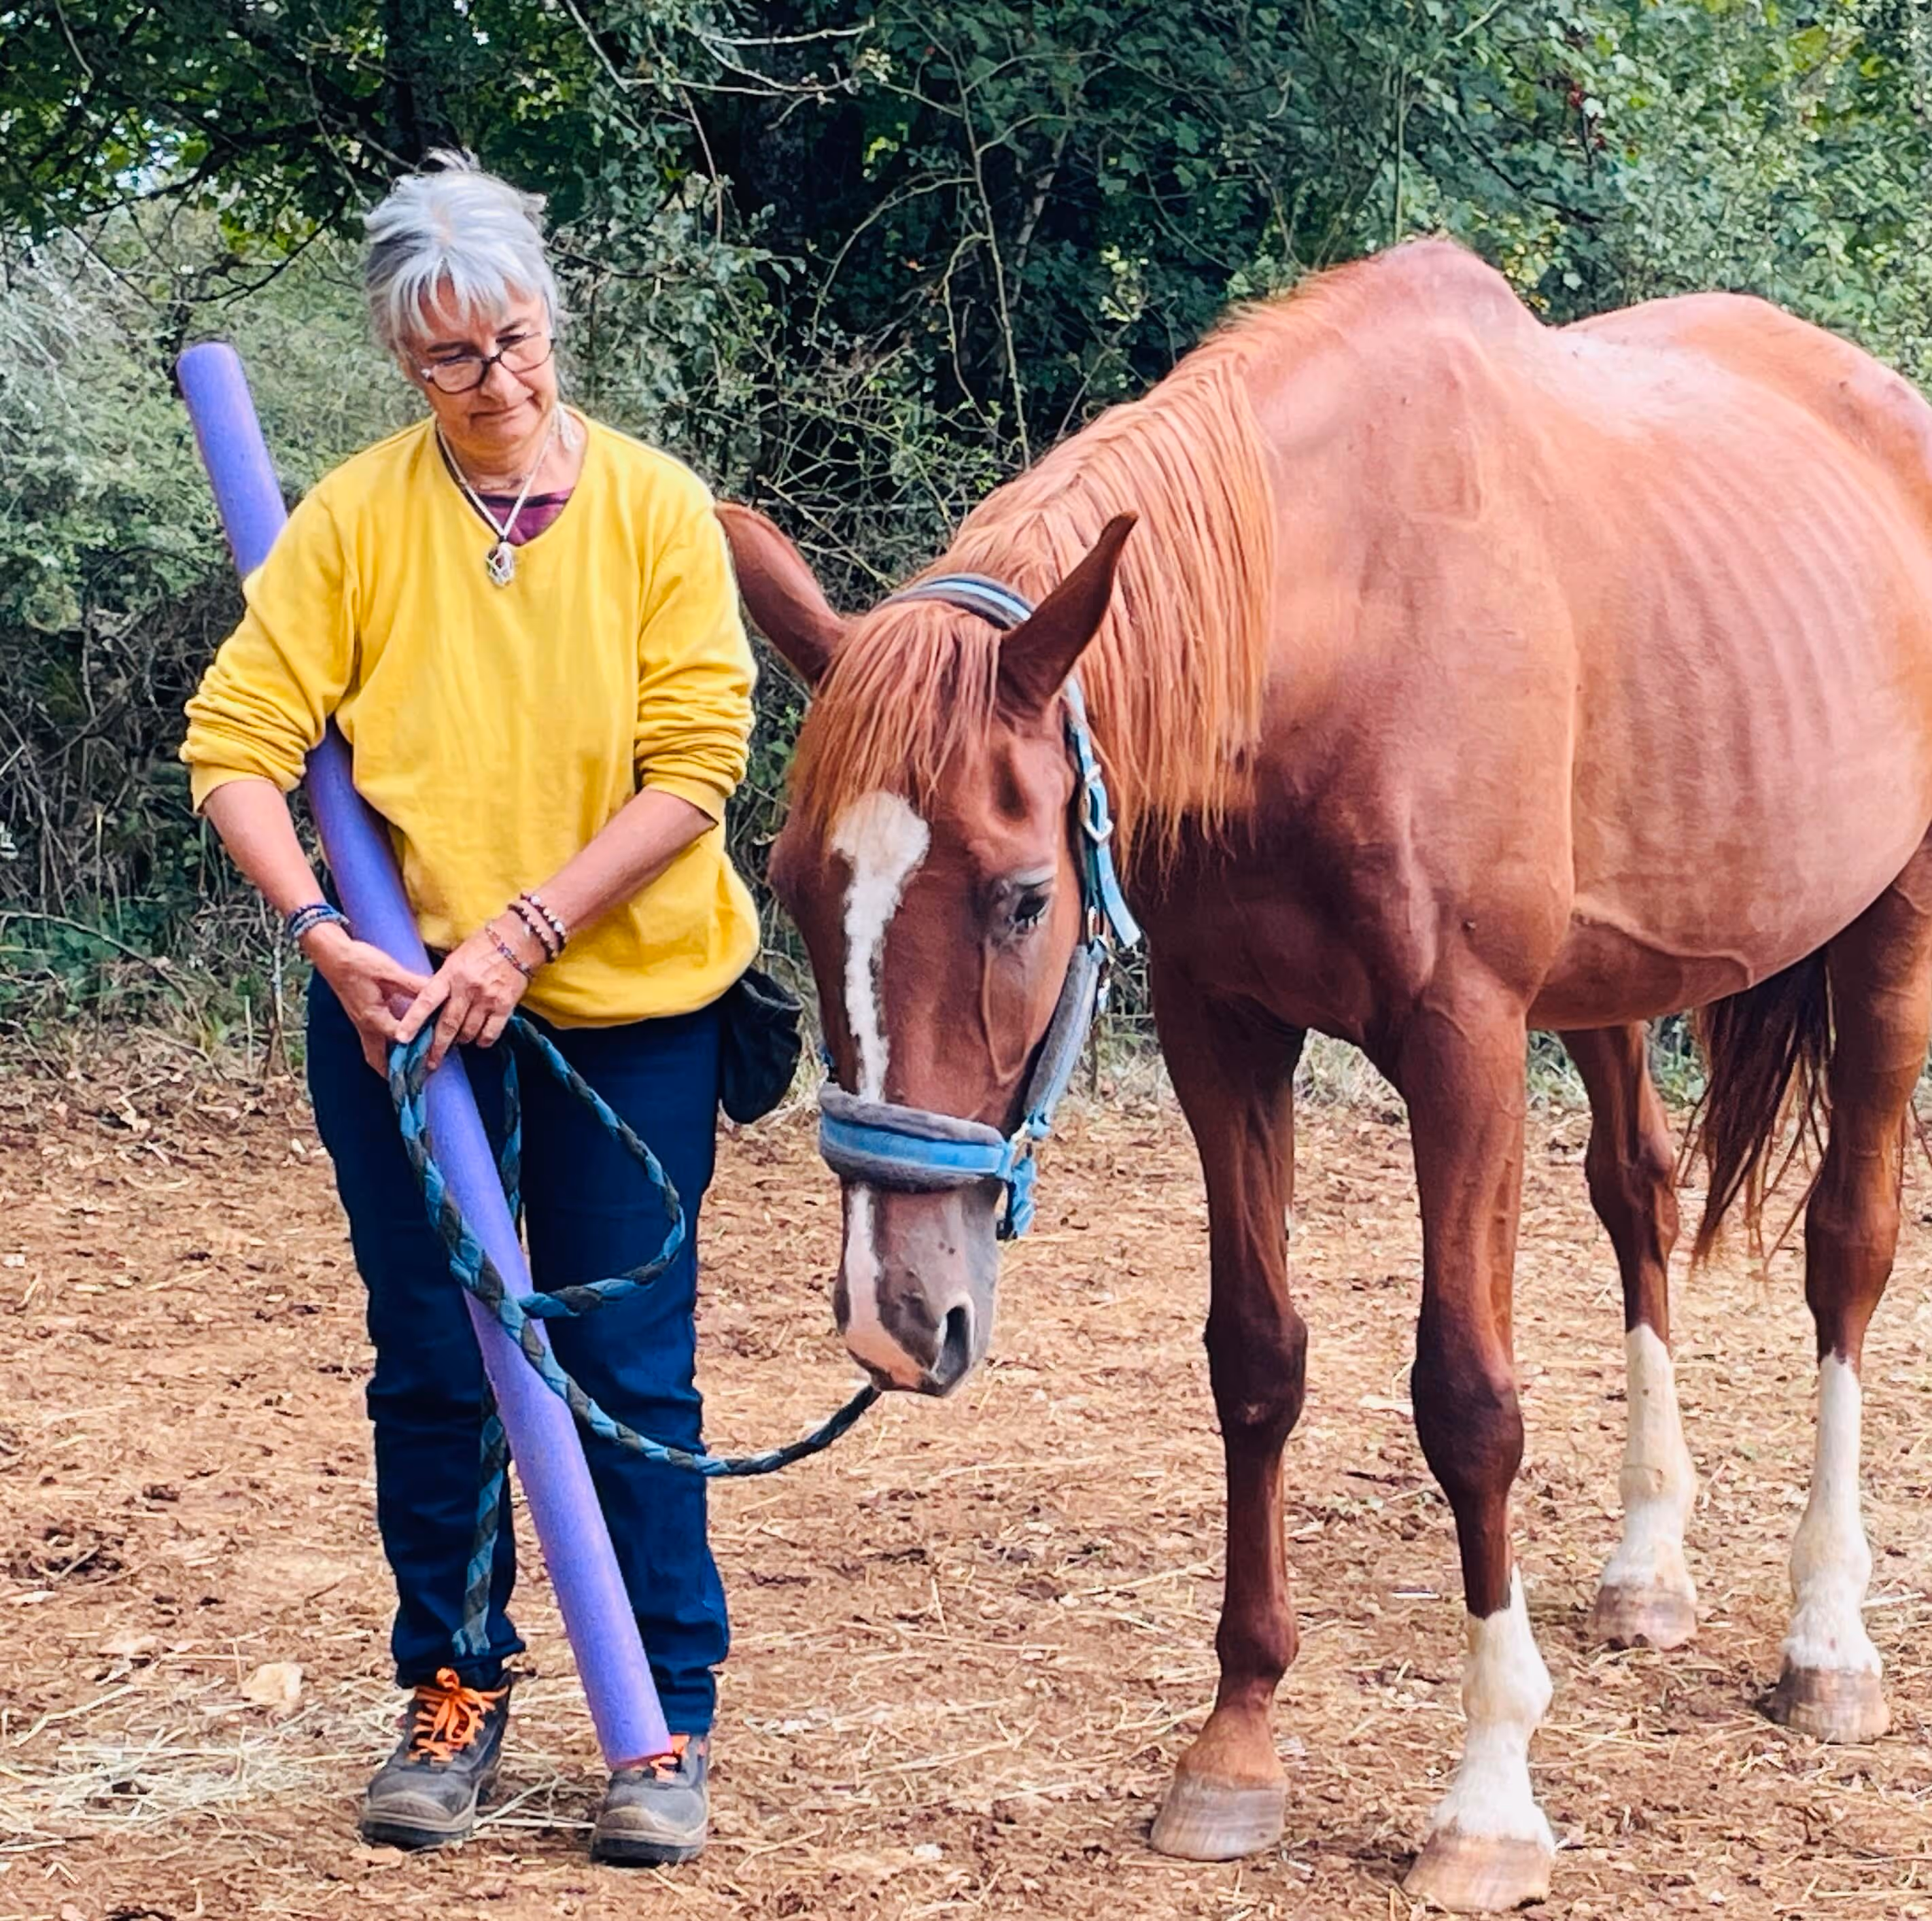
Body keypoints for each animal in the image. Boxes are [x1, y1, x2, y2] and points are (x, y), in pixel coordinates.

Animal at [715, 237, 1932, 1913]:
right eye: (786, 880)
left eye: (1022, 899)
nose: (895, 1317)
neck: (1342, 621)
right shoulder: (1227, 1035)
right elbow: (1254, 1364)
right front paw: (1232, 1753)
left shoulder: (1464, 1048)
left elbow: (1466, 1401)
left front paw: (1487, 1800)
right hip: (1609, 989)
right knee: (1636, 1198)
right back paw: (1645, 1571)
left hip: (1887, 938)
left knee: (1845, 1252)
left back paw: (1826, 1643)